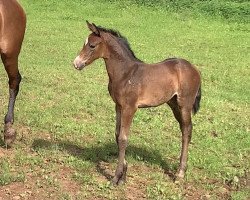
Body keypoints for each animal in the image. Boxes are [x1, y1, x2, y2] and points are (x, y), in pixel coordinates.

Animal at [73, 21, 201, 185]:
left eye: (92, 45)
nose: (76, 63)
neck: (125, 73)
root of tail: (194, 68)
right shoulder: (118, 106)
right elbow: (117, 135)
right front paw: (123, 175)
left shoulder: (130, 108)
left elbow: (123, 138)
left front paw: (116, 177)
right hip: (173, 104)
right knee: (184, 129)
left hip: (184, 105)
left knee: (187, 131)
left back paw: (180, 174)